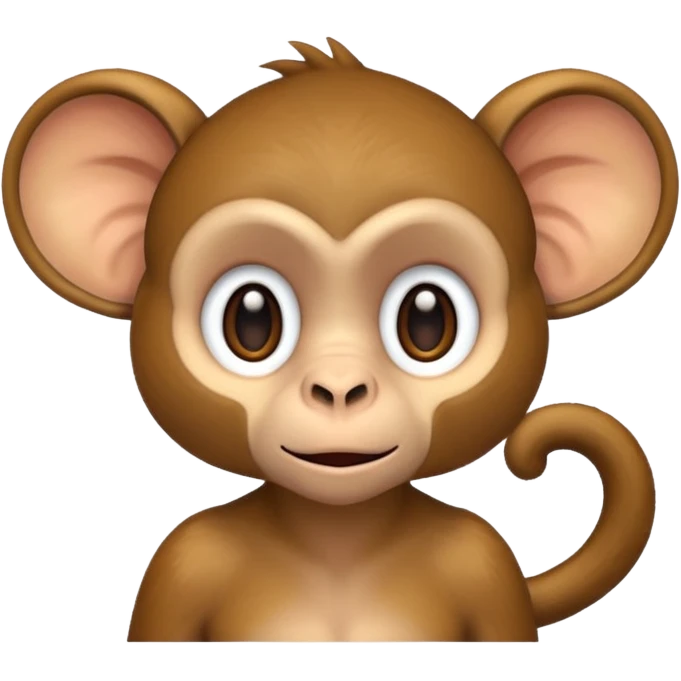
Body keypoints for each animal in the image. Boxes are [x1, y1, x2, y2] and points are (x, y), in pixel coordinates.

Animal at [2, 39, 677, 644]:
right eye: (251, 320)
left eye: (427, 321)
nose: (339, 388)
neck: (338, 538)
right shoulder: (181, 565)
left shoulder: (484, 567)